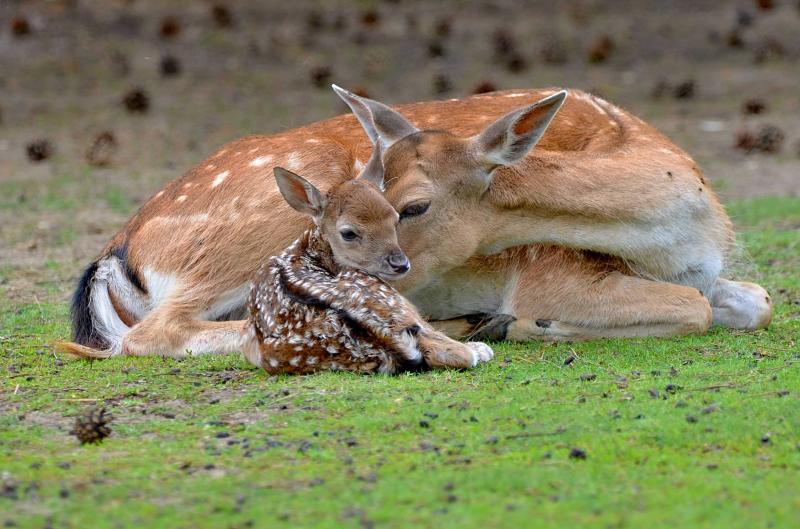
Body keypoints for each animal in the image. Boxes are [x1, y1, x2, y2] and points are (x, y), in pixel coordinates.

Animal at [241, 150, 493, 374]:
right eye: (348, 233)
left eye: (395, 218)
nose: (400, 263)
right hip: (384, 293)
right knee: (455, 352)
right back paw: (479, 346)